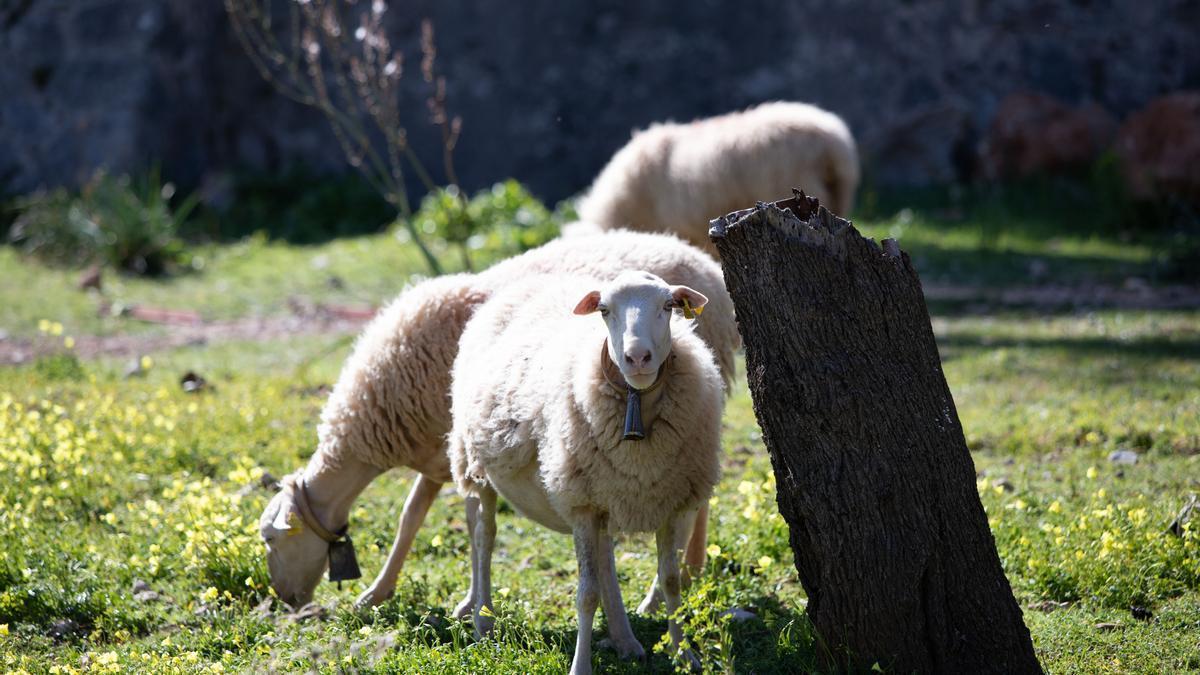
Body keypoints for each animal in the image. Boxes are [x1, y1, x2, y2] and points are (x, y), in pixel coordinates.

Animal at [258, 230, 739, 610]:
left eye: (271, 539)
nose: (287, 601)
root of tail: (702, 262)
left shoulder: (452, 447)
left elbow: (434, 519)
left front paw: (405, 594)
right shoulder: (445, 453)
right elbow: (417, 514)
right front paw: (384, 592)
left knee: (695, 500)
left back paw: (676, 579)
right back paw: (692, 568)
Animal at [449, 270, 724, 674]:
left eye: (669, 305)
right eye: (605, 310)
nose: (637, 357)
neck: (636, 405)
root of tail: (528, 283)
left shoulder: (670, 502)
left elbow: (671, 581)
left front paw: (684, 653)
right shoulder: (579, 503)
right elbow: (586, 593)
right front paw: (581, 665)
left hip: (605, 490)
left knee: (605, 556)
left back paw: (624, 638)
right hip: (477, 461)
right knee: (484, 536)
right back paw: (483, 621)